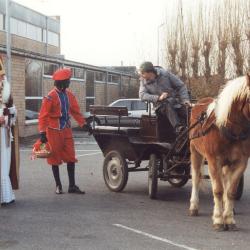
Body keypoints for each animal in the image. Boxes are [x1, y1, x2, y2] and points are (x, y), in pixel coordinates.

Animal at [188, 73, 250, 231]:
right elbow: (218, 190)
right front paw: (218, 219)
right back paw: (194, 206)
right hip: (195, 152)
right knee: (196, 178)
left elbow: (231, 191)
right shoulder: (213, 161)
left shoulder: (240, 163)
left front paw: (229, 218)